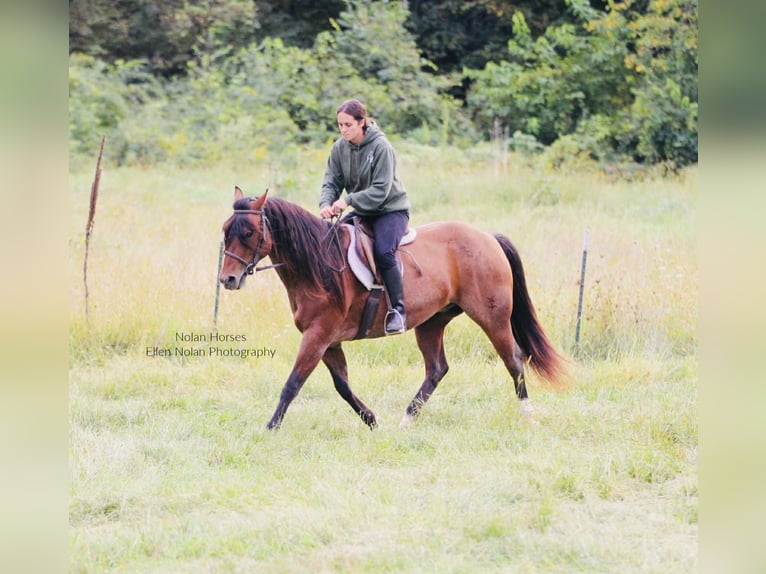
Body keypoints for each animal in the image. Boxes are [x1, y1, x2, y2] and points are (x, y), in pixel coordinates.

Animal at [219, 187, 565, 430]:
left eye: (248, 233)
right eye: (225, 231)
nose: (228, 279)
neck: (319, 264)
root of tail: (488, 238)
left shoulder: (318, 336)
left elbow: (293, 383)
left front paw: (270, 427)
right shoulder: (327, 341)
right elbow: (342, 385)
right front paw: (371, 419)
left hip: (493, 318)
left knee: (514, 360)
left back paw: (528, 416)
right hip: (431, 322)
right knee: (437, 369)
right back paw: (407, 419)